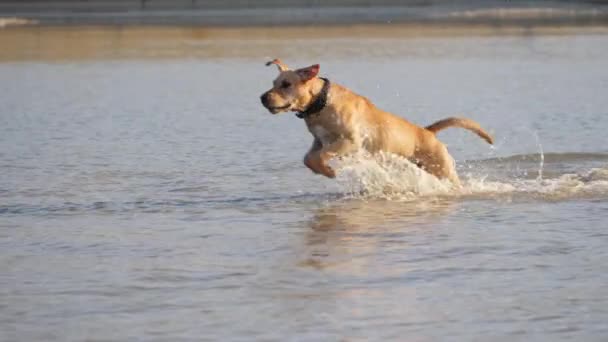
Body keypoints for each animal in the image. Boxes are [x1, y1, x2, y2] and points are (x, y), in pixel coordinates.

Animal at [258, 59, 492, 187]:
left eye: (286, 84)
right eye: (274, 83)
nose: (262, 97)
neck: (321, 103)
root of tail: (427, 131)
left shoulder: (349, 142)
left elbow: (320, 156)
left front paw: (329, 171)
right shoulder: (319, 142)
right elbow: (308, 158)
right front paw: (323, 171)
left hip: (442, 169)